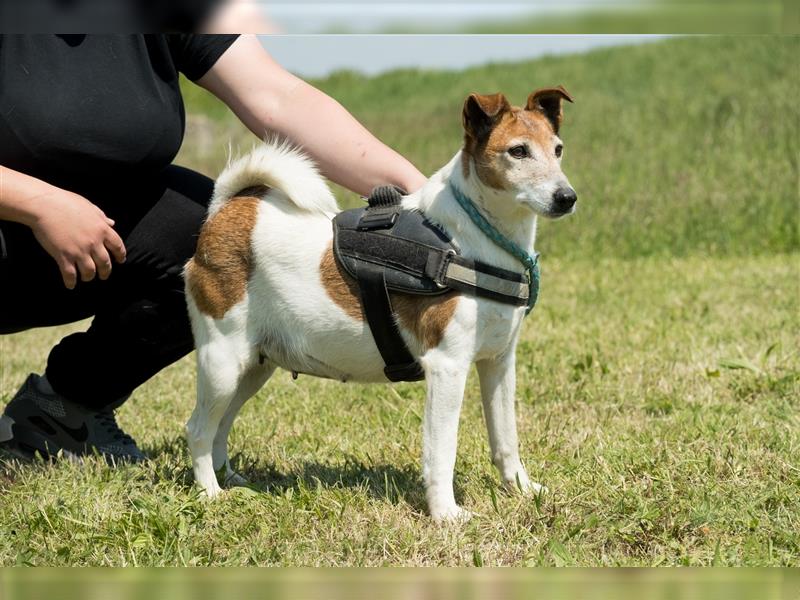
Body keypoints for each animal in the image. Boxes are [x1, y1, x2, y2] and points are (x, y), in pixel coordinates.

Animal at [184, 86, 576, 524]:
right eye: (518, 151)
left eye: (558, 149)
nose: (567, 197)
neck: (470, 241)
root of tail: (226, 210)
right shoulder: (447, 367)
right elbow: (442, 451)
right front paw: (446, 514)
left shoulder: (498, 363)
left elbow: (506, 439)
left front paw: (522, 490)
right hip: (223, 361)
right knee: (198, 428)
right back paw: (210, 493)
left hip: (253, 366)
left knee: (220, 425)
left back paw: (231, 481)